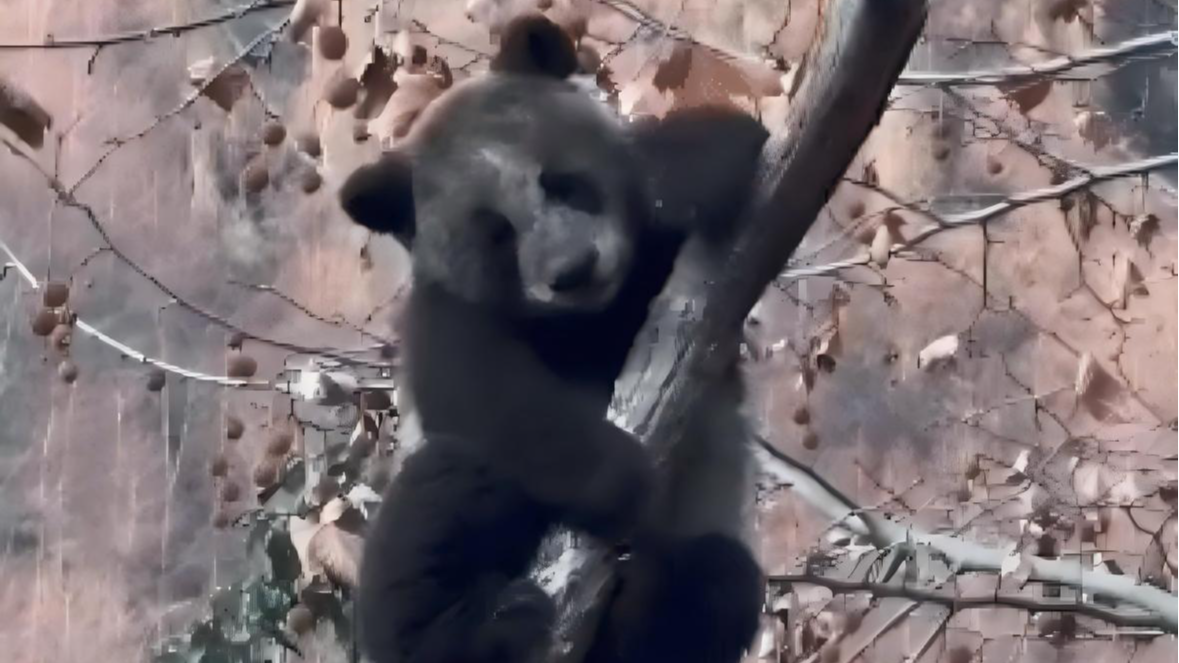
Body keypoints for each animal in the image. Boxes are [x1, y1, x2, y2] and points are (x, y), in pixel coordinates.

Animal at [339, 15, 768, 663]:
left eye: (564, 185)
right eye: (497, 233)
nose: (573, 271)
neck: (588, 320)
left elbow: (725, 148)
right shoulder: (447, 314)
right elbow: (487, 398)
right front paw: (622, 477)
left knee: (717, 583)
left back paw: (643, 601)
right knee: (443, 495)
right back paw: (485, 628)